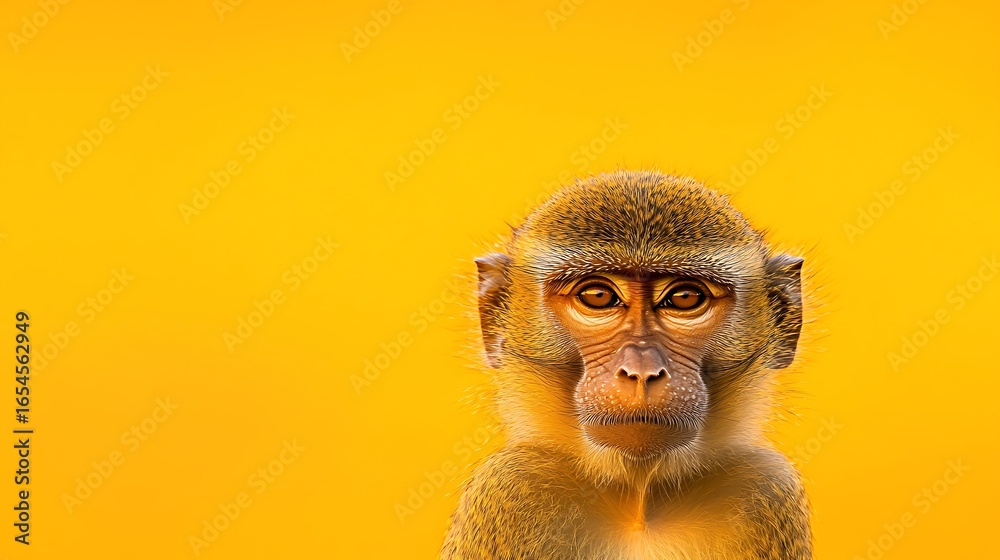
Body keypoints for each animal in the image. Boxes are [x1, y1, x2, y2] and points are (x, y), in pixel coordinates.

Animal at [441, 170, 811, 559]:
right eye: (598, 296)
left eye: (684, 297)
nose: (641, 371)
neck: (639, 503)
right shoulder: (510, 483)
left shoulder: (763, 485)